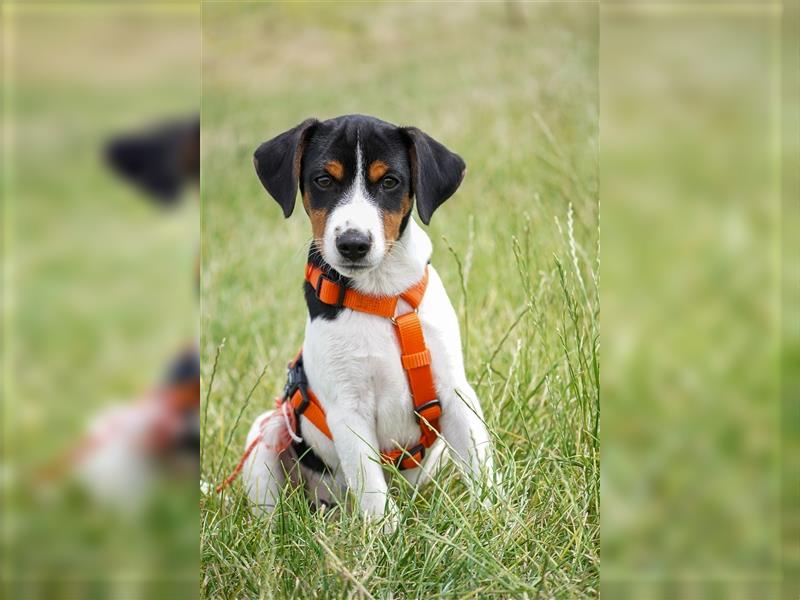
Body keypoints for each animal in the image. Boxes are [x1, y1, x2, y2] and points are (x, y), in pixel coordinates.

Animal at [241, 112, 496, 528]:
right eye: (323, 180)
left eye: (389, 182)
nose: (353, 244)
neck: (381, 296)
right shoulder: (348, 408)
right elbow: (372, 485)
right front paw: (386, 536)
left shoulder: (455, 391)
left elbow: (480, 464)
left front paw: (498, 519)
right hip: (266, 431)